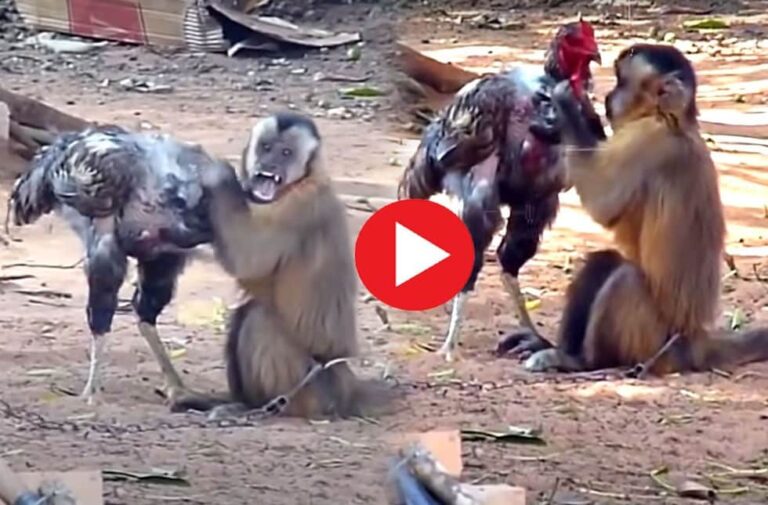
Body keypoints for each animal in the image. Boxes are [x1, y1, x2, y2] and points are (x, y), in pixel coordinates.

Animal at [172, 112, 394, 419]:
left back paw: (264, 409)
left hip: (311, 391)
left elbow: (247, 259)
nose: (270, 165)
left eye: (286, 153)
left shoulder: (301, 205)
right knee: (246, 314)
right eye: (266, 148)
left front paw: (215, 173)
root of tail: (348, 390)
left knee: (258, 318)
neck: (298, 184)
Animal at [495, 43, 768, 375]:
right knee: (604, 262)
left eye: (621, 82)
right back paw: (556, 349)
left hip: (656, 344)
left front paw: (568, 104)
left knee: (624, 277)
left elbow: (604, 203)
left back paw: (580, 361)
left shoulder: (648, 141)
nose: (609, 96)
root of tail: (697, 343)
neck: (668, 120)